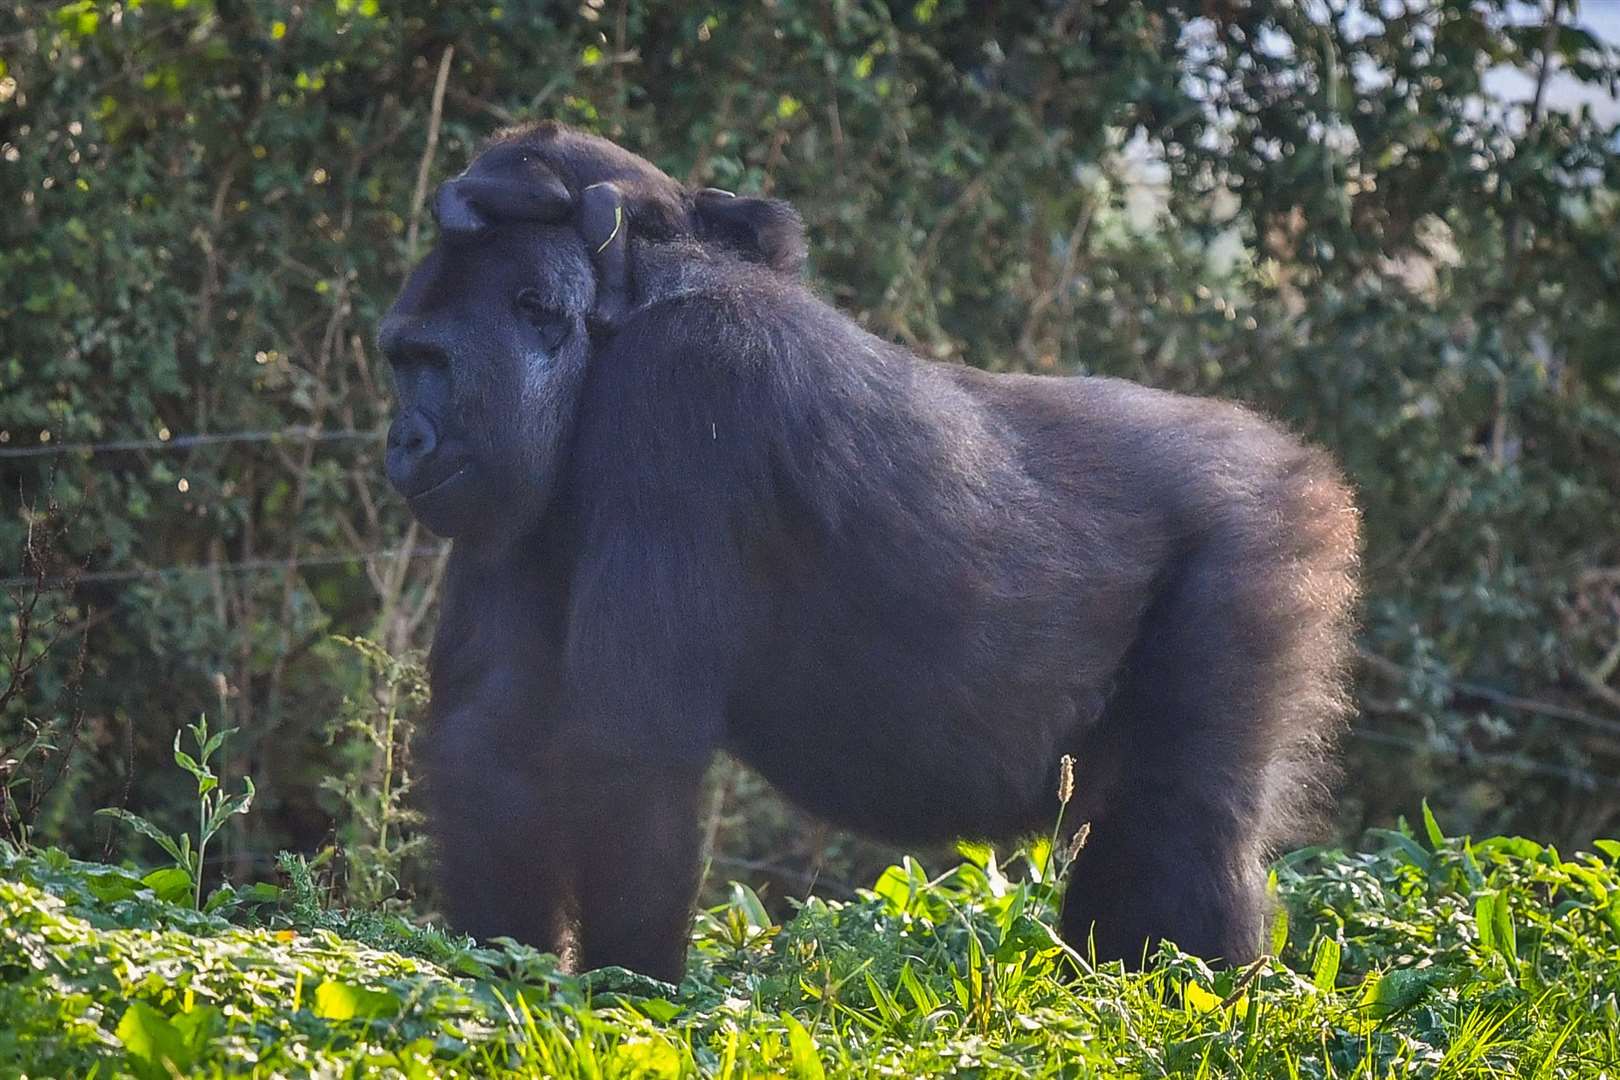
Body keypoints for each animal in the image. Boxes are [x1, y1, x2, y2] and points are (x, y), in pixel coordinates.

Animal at [375, 122, 1354, 984]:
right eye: (399, 360)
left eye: (431, 362)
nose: (403, 442)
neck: (616, 335)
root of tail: (1296, 458)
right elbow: (490, 736)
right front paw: (506, 970)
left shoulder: (687, 388)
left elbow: (631, 749)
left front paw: (632, 991)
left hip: (1265, 538)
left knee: (1183, 823)